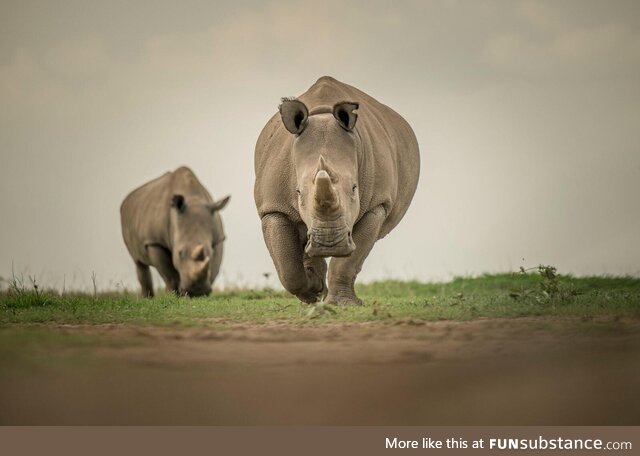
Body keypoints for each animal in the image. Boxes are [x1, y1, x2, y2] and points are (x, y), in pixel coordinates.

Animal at [120, 166, 230, 298]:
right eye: (179, 253)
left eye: (210, 252)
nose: (197, 292)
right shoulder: (155, 241)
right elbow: (169, 274)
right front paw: (172, 296)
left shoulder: (218, 238)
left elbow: (215, 266)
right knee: (138, 262)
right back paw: (147, 298)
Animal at [255, 76, 420, 304]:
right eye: (298, 193)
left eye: (354, 188)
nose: (329, 243)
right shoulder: (273, 207)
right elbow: (288, 269)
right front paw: (313, 291)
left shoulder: (377, 205)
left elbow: (349, 260)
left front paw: (343, 304)